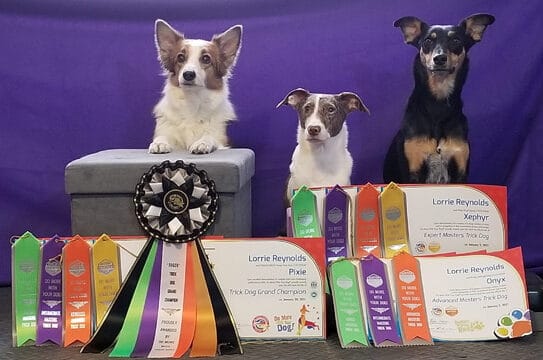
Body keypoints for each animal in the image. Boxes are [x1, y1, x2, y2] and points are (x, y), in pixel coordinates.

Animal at [149, 20, 242, 154]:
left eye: (206, 59)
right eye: (180, 57)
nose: (188, 74)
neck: (192, 100)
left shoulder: (220, 139)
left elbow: (209, 136)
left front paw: (202, 143)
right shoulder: (167, 129)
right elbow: (163, 136)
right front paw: (159, 143)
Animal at [384, 13, 496, 183]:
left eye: (456, 40)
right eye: (427, 41)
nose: (439, 58)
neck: (438, 105)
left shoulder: (460, 168)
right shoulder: (413, 170)